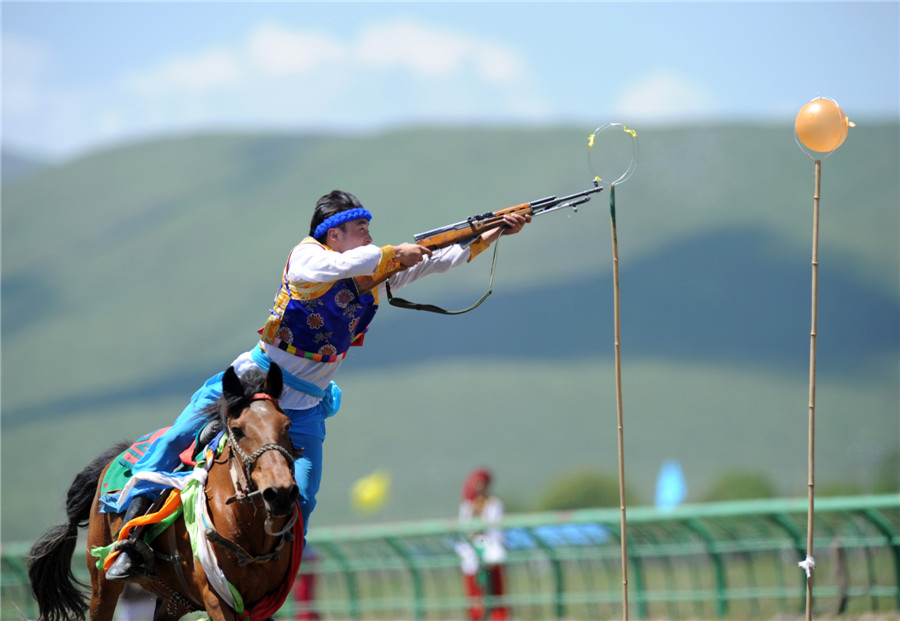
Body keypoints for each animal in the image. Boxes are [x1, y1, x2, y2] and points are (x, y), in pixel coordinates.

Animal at [28, 360, 302, 616]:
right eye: (238, 430)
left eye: (287, 425)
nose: (280, 493)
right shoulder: (217, 598)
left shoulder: (259, 604)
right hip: (102, 587)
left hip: (175, 600)